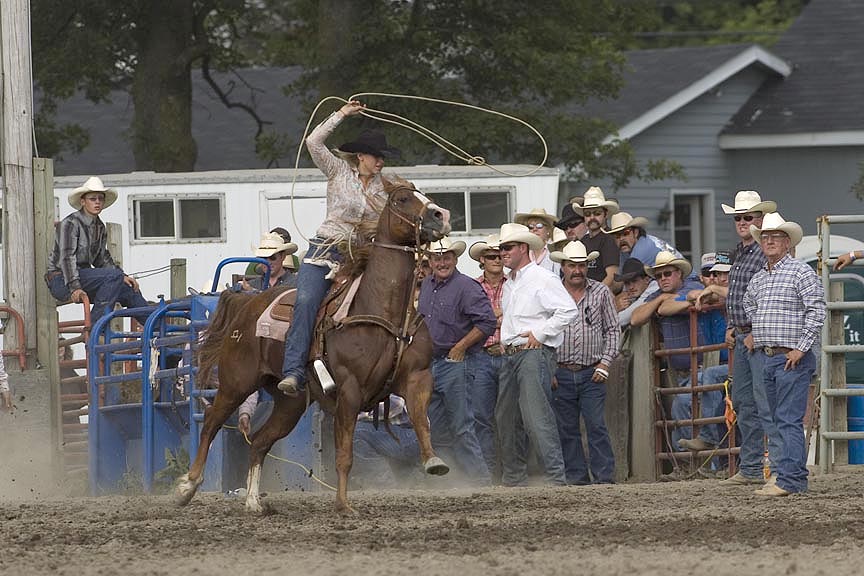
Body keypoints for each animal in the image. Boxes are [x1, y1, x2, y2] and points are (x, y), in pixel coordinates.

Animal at [174, 181, 452, 512]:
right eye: (401, 199)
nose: (440, 215)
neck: (382, 309)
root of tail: (246, 303)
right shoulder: (349, 389)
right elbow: (344, 455)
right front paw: (343, 505)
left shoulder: (417, 376)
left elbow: (421, 421)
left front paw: (434, 461)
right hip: (236, 383)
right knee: (211, 424)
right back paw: (188, 486)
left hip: (290, 403)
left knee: (259, 441)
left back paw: (254, 502)